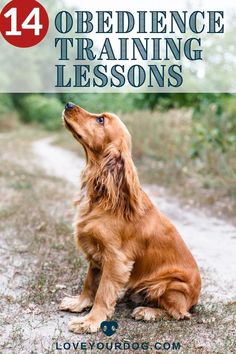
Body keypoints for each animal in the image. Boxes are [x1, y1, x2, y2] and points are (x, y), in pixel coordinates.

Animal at [59, 101, 201, 332]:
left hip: (169, 285)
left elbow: (102, 292)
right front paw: (79, 304)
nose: (68, 104)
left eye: (101, 119)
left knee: (179, 313)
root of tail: (196, 298)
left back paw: (147, 311)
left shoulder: (116, 259)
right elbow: (89, 282)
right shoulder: (96, 254)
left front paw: (90, 321)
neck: (103, 196)